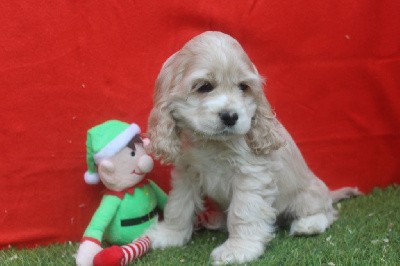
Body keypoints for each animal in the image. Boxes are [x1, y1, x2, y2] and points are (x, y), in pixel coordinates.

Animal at [146, 30, 360, 264]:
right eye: (204, 87)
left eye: (243, 87)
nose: (230, 116)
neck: (212, 144)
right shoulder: (187, 173)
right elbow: (179, 205)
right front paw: (169, 235)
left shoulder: (251, 176)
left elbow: (243, 212)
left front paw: (239, 249)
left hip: (307, 196)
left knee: (326, 212)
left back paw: (308, 225)